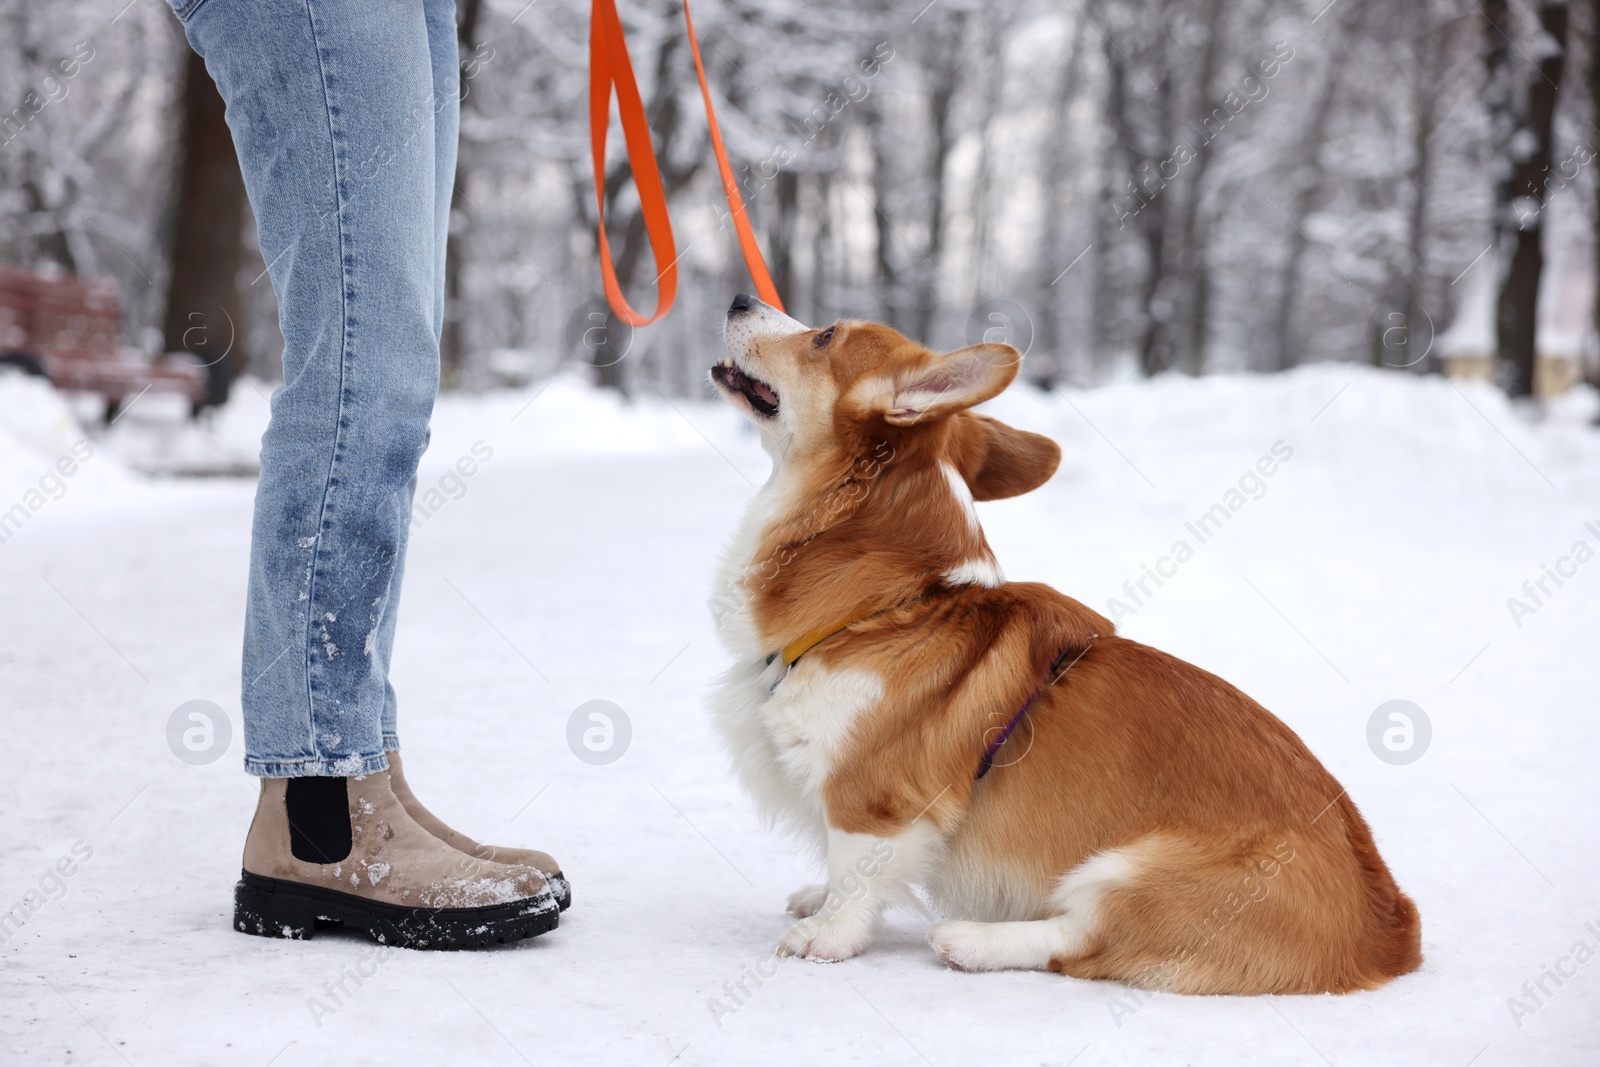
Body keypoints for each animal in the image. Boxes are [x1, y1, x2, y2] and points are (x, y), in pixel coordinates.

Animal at [707, 289, 1420, 991]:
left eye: (826, 336)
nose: (739, 297)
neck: (888, 605)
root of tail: (1388, 932)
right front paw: (816, 898)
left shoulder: (872, 797)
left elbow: (855, 875)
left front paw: (824, 935)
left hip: (1130, 870)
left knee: (1081, 941)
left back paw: (970, 941)